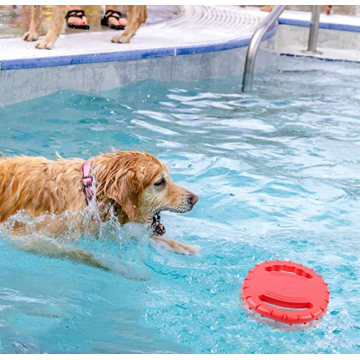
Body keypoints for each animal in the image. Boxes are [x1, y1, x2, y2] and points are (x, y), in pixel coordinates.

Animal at [0, 148, 200, 268]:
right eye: (159, 182)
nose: (195, 199)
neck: (91, 193)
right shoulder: (32, 236)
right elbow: (82, 255)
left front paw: (185, 247)